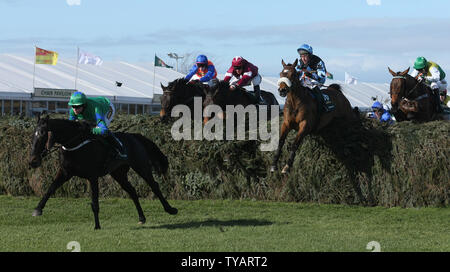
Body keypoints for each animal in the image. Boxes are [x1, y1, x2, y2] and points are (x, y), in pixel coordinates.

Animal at [28, 115, 178, 230]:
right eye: (33, 135)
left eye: (43, 135)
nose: (32, 161)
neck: (74, 143)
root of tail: (134, 136)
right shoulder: (65, 172)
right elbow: (50, 189)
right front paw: (38, 209)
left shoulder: (92, 176)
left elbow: (95, 202)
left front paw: (97, 226)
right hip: (118, 173)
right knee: (132, 191)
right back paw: (141, 217)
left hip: (141, 167)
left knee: (154, 186)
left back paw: (170, 209)